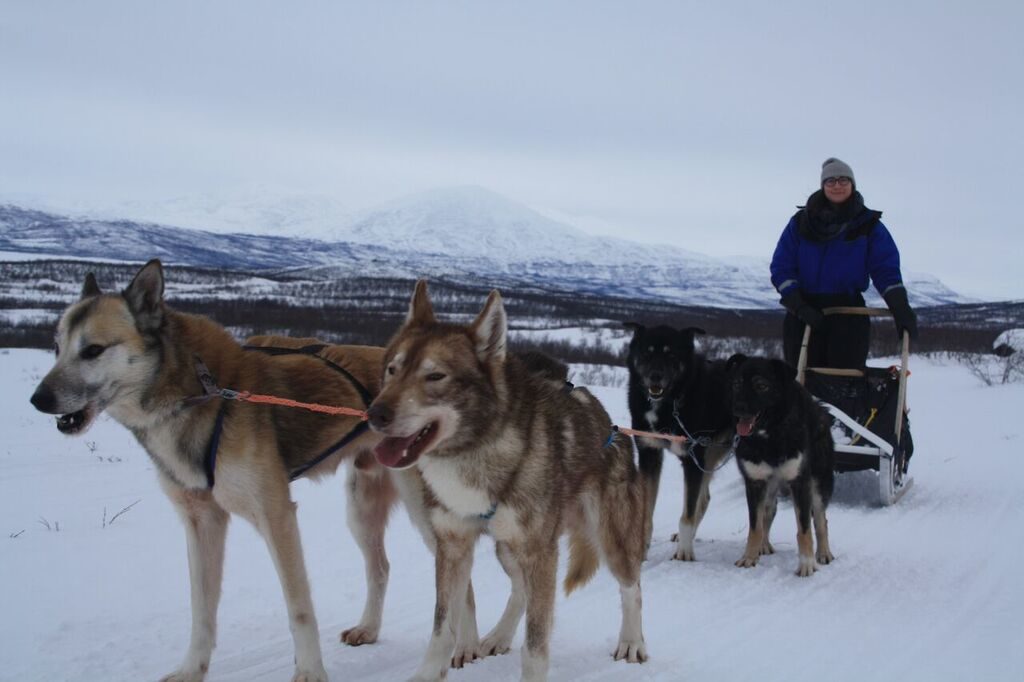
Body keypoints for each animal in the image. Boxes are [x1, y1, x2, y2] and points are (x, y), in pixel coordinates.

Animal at [27, 260, 399, 679]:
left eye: (93, 350)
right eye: (57, 349)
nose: (38, 399)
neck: (196, 393)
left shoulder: (276, 516)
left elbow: (299, 608)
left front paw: (310, 672)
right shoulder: (202, 518)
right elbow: (201, 609)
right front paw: (192, 669)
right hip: (361, 511)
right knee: (380, 567)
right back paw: (369, 628)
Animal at [366, 278, 647, 675]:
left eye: (435, 376)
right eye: (393, 369)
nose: (375, 413)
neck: (476, 453)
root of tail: (610, 424)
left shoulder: (540, 553)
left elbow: (535, 648)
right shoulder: (453, 547)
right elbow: (441, 632)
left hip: (609, 539)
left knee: (631, 587)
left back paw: (632, 642)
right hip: (508, 549)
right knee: (521, 591)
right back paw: (499, 635)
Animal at [622, 323, 737, 557]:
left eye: (671, 354)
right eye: (647, 353)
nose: (655, 376)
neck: (670, 403)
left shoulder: (693, 460)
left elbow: (687, 513)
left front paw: (684, 552)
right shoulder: (649, 454)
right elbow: (648, 508)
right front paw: (641, 547)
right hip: (709, 456)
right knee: (705, 498)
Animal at [724, 356, 835, 573]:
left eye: (761, 386)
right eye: (736, 384)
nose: (737, 408)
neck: (770, 436)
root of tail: (820, 407)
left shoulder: (800, 482)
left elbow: (804, 529)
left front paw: (807, 563)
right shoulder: (755, 482)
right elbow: (755, 526)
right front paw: (749, 557)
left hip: (818, 484)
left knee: (820, 520)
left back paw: (823, 553)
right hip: (769, 487)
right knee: (768, 512)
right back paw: (763, 545)